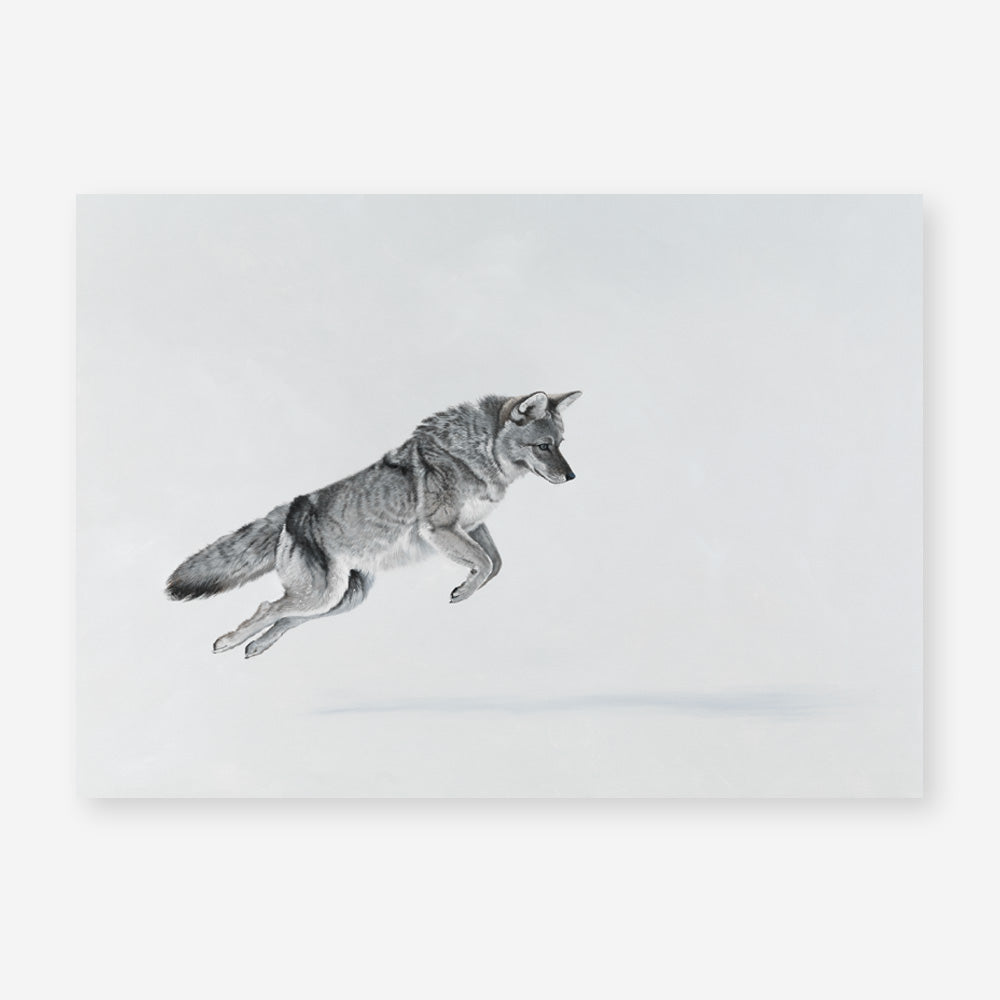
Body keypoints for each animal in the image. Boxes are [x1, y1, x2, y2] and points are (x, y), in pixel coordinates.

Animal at [166, 390, 582, 658]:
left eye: (561, 443)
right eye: (544, 446)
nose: (572, 477)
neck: (476, 454)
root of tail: (292, 508)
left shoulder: (472, 527)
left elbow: (494, 565)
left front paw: (465, 587)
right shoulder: (441, 530)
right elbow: (484, 564)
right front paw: (462, 592)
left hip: (339, 601)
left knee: (287, 617)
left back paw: (255, 646)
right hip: (321, 596)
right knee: (269, 607)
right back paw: (228, 642)